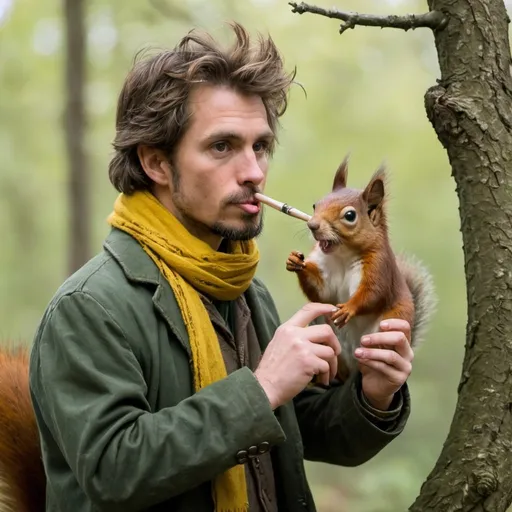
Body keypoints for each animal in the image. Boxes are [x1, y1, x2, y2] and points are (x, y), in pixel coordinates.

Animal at [286, 158, 438, 382]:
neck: (342, 255)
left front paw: (349, 308)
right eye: (315, 205)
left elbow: (373, 293)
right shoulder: (324, 270)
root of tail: (353, 365)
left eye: (350, 215)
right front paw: (295, 262)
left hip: (391, 324)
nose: (312, 225)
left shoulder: (378, 267)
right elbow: (323, 292)